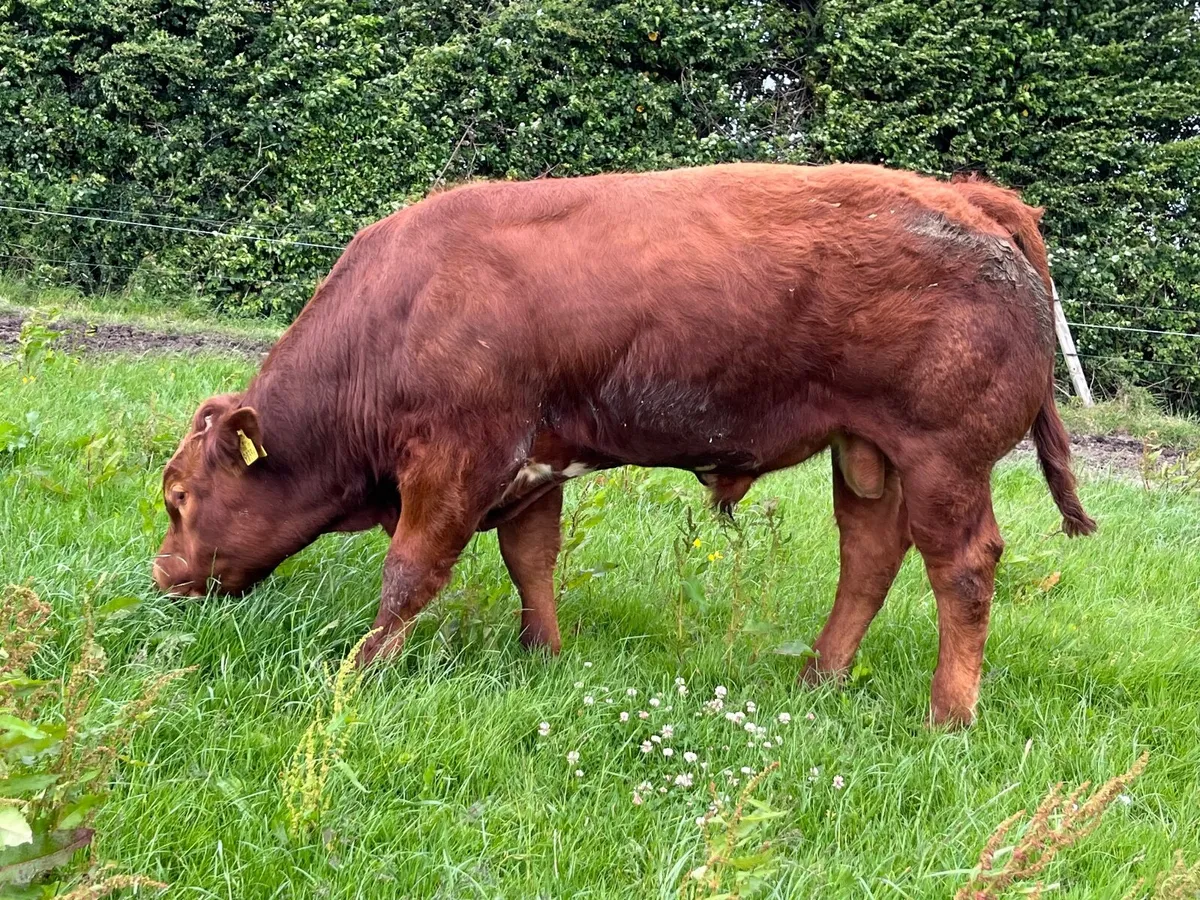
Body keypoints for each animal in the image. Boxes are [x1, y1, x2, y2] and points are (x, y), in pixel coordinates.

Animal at [152, 162, 1095, 726]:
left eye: (179, 498)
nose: (162, 575)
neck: (401, 308)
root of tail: (970, 196)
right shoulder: (532, 468)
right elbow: (532, 560)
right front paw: (542, 653)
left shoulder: (457, 460)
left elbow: (409, 574)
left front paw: (358, 672)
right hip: (868, 453)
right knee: (868, 557)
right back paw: (821, 677)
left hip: (944, 459)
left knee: (962, 570)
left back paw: (949, 714)